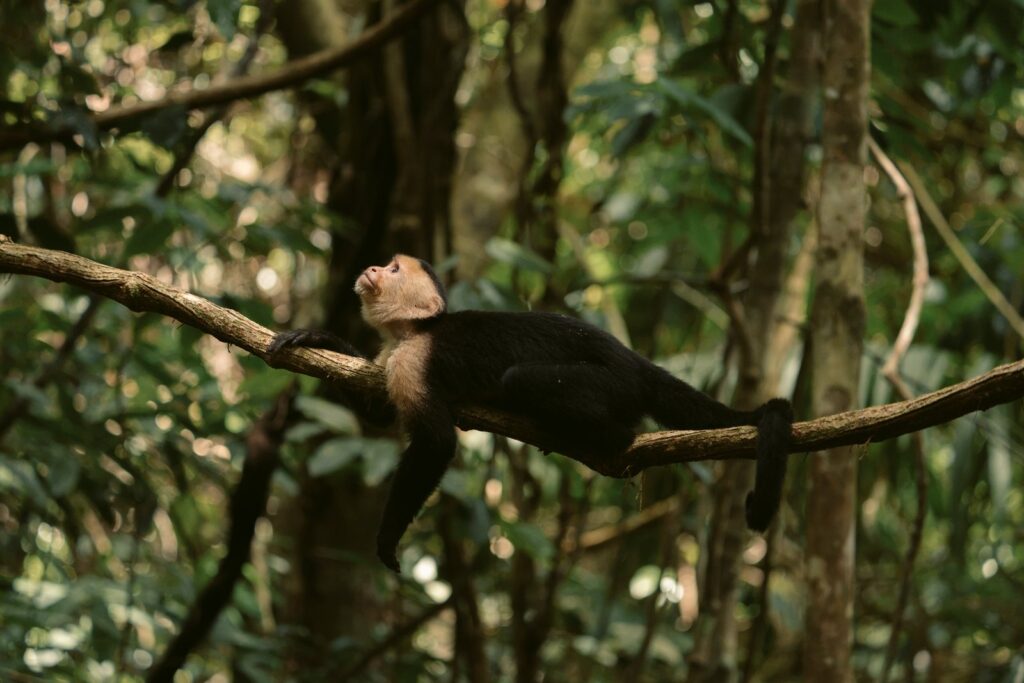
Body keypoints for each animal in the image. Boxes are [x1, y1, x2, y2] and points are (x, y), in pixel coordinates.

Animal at [269, 255, 793, 572]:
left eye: (395, 269)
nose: (374, 266)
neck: (413, 331)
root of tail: (634, 362)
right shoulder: (391, 358)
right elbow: (378, 414)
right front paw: (317, 338)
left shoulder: (414, 361)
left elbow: (436, 444)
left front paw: (386, 539)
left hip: (612, 382)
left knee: (521, 380)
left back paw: (611, 440)